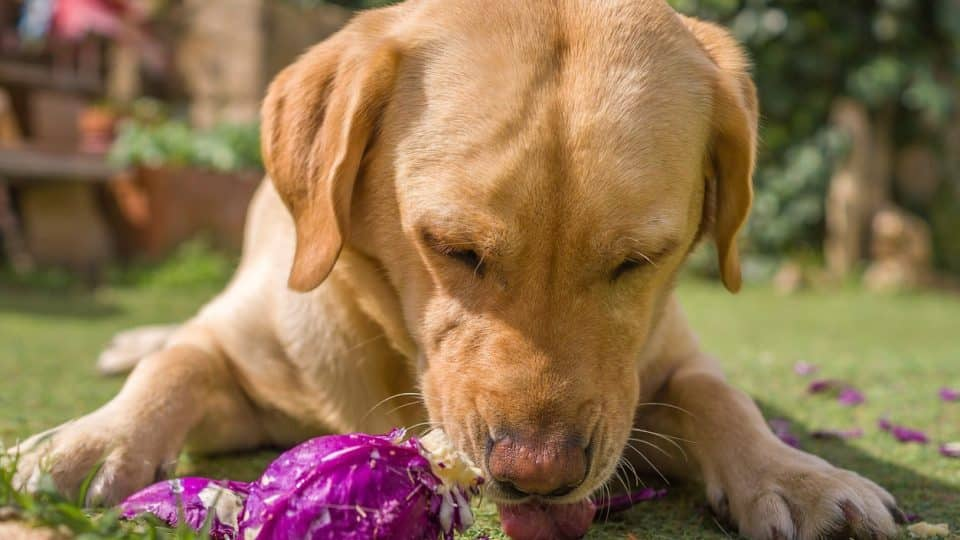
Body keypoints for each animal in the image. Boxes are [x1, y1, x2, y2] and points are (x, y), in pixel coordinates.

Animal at [13, 1, 900, 540]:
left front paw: (799, 475)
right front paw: (90, 443)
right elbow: (180, 364)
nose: (538, 478)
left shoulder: (661, 375)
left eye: (639, 260)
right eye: (452, 248)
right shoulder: (246, 364)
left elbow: (720, 395)